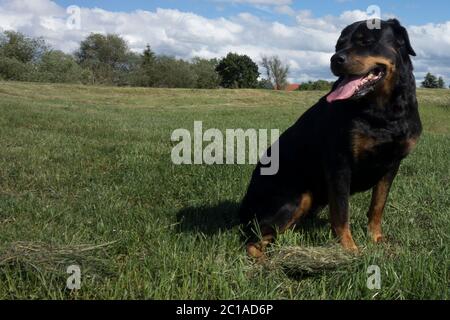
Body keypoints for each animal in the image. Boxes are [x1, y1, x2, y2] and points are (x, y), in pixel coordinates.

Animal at [239, 18, 422, 258]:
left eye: (366, 41)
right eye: (338, 45)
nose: (335, 59)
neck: (382, 109)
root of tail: (244, 206)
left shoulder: (392, 163)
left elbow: (377, 205)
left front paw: (376, 238)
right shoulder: (339, 163)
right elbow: (341, 212)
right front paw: (349, 249)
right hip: (297, 198)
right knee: (253, 240)